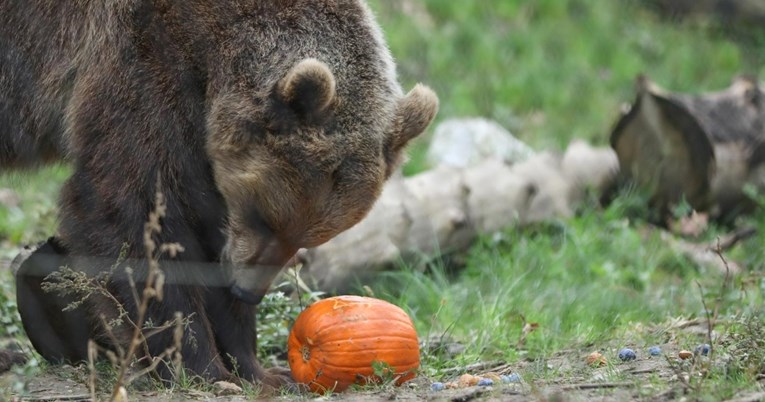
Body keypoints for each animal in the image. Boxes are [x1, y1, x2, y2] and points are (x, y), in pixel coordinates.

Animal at [0, 0, 438, 390]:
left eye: (309, 237)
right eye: (267, 218)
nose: (248, 290)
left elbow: (206, 232)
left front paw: (260, 370)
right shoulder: (137, 68)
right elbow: (134, 213)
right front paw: (202, 367)